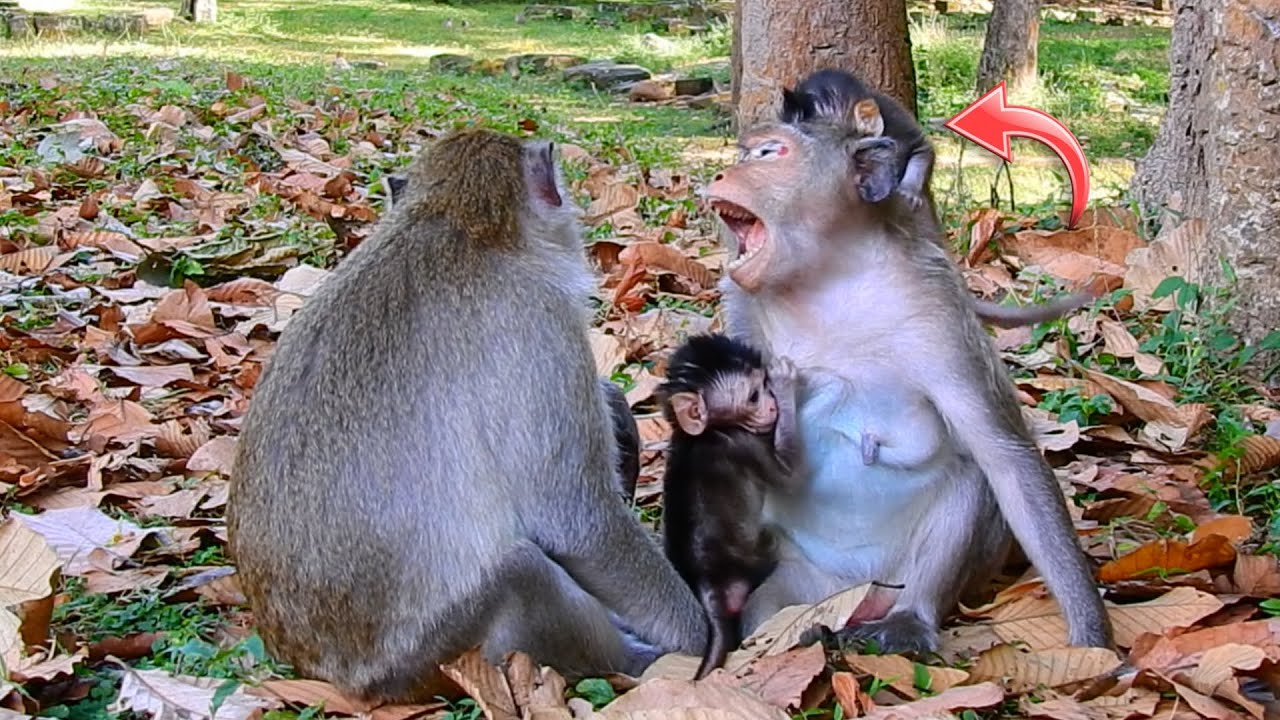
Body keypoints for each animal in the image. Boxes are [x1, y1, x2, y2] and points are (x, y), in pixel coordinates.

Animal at [227, 128, 708, 704]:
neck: (455, 221)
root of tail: (335, 678)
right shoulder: (540, 324)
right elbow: (579, 522)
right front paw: (703, 639)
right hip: (438, 654)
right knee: (523, 574)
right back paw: (631, 659)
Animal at [657, 334, 803, 680]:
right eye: (753, 396)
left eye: (762, 384)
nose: (772, 405)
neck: (701, 435)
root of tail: (706, 583)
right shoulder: (741, 443)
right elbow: (793, 478)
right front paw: (787, 385)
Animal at [704, 99, 1114, 655]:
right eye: (747, 153)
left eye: (770, 153)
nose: (723, 173)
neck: (829, 281)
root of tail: (860, 593)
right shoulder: (741, 307)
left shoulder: (937, 313)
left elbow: (1006, 460)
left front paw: (1094, 640)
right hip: (808, 578)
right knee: (770, 608)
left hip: (901, 577)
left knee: (972, 480)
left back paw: (910, 618)